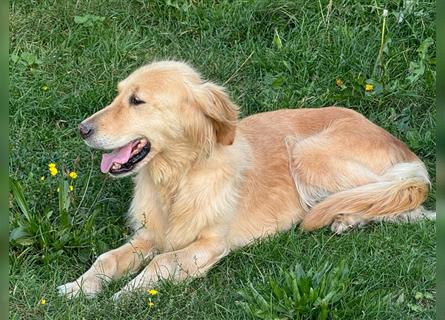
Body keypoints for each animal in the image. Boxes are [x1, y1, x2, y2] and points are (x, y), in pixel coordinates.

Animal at [56, 60, 434, 300]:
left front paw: (127, 293)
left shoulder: (211, 243)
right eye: (118, 95)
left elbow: (162, 261)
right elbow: (107, 258)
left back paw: (349, 218)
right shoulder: (151, 235)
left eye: (137, 101)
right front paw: (78, 287)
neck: (178, 176)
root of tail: (401, 146)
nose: (82, 129)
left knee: (408, 204)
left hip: (306, 153)